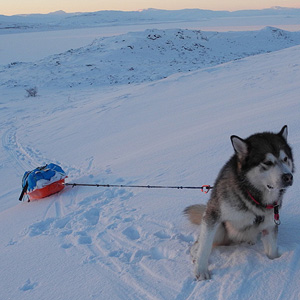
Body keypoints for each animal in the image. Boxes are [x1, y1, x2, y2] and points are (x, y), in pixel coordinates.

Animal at [184, 125, 294, 280]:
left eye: (285, 159)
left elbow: (272, 251)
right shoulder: (213, 214)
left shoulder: (269, 224)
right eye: (267, 162)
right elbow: (205, 247)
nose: (288, 177)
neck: (254, 197)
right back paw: (195, 254)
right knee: (197, 244)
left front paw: (275, 263)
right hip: (219, 228)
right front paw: (201, 270)